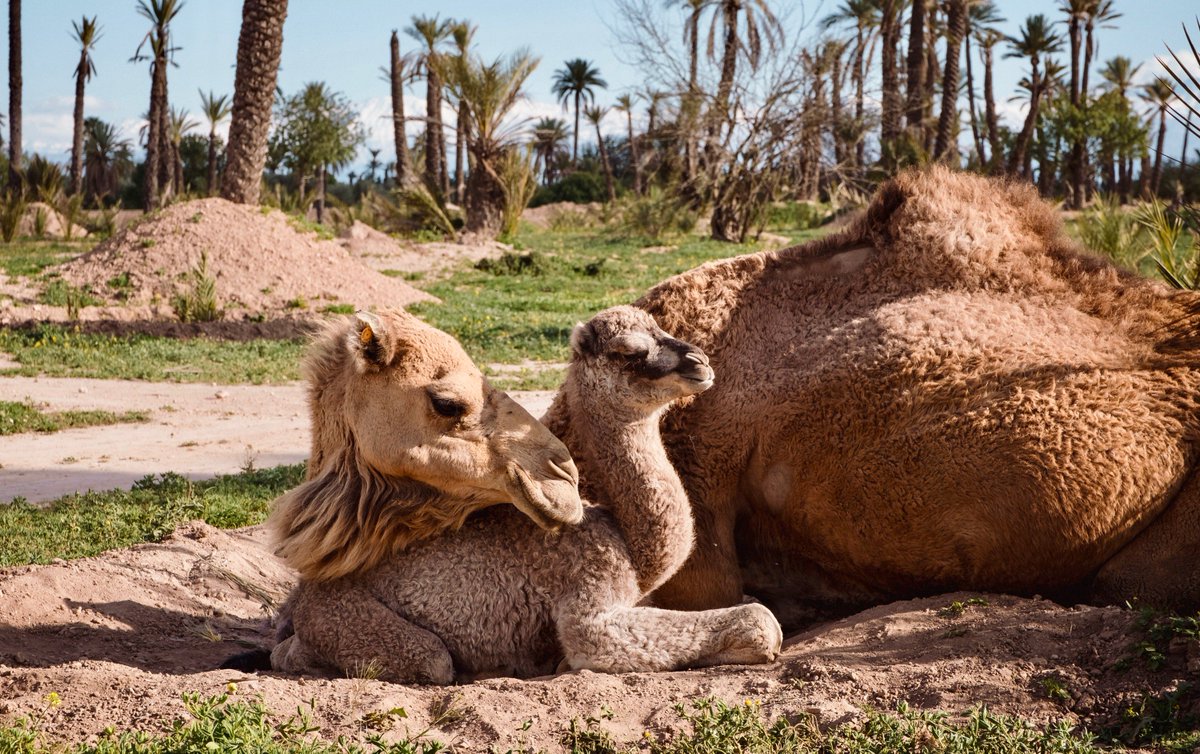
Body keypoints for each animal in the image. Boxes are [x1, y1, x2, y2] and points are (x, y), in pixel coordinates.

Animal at [264, 306, 782, 683]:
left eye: (665, 330)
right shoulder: (588, 598)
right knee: (426, 658)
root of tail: (310, 587)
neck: (630, 546)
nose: (700, 363)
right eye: (630, 351)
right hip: (345, 619)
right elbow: (758, 619)